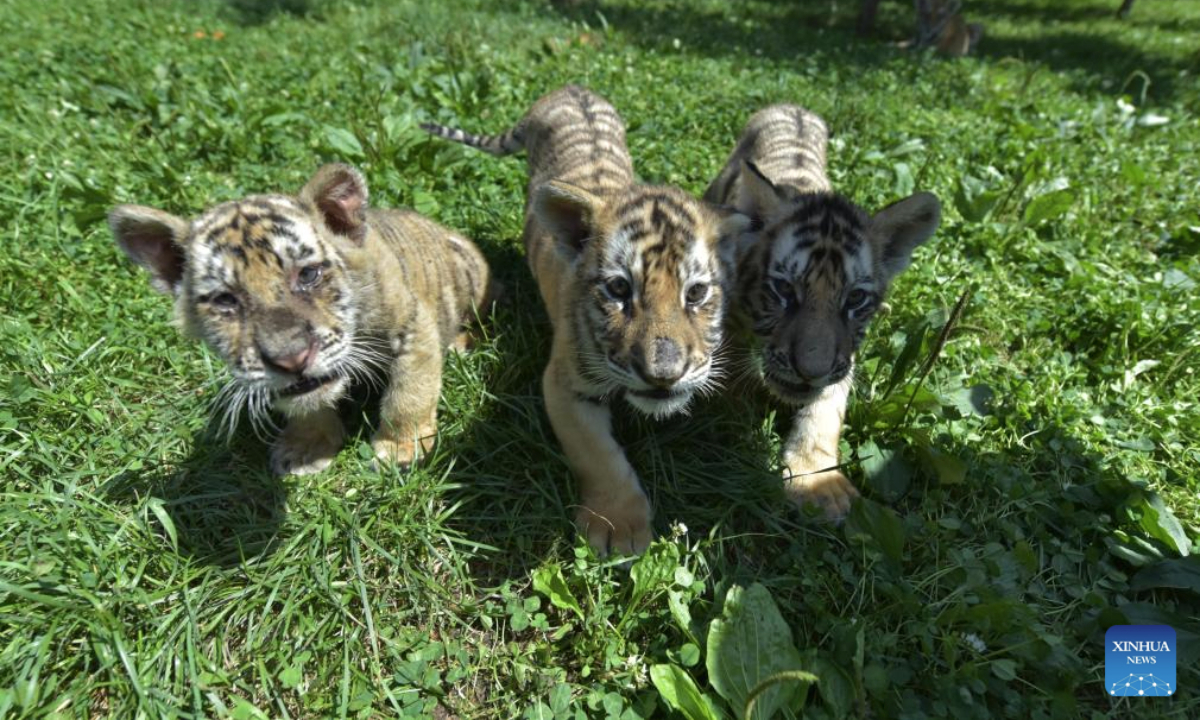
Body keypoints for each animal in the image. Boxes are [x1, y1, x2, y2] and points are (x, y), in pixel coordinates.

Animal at [109, 163, 495, 476]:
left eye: (308, 274)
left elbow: (409, 394)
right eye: (225, 300)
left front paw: (401, 449)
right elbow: (303, 404)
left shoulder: (413, 327)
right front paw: (306, 449)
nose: (292, 359)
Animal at [422, 86, 750, 556]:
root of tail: (569, 89)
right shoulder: (564, 383)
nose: (664, 376)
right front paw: (619, 529)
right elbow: (597, 455)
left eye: (696, 293)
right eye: (618, 290)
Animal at [705, 104, 941, 521]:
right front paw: (734, 416)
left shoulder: (844, 354)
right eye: (784, 290)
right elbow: (731, 368)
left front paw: (818, 482)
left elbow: (827, 406)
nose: (809, 372)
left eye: (855, 299)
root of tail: (790, 105)